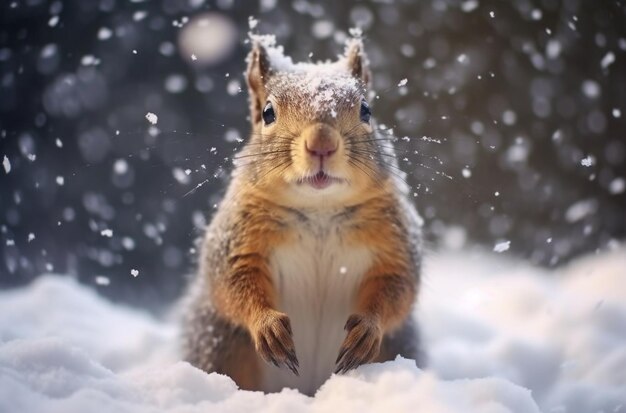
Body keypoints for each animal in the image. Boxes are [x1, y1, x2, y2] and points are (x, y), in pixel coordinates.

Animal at [183, 33, 422, 394]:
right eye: (268, 112)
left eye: (366, 110)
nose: (322, 143)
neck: (319, 210)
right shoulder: (237, 239)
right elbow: (231, 282)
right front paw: (267, 324)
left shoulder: (394, 240)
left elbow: (399, 284)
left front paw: (368, 328)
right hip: (222, 343)